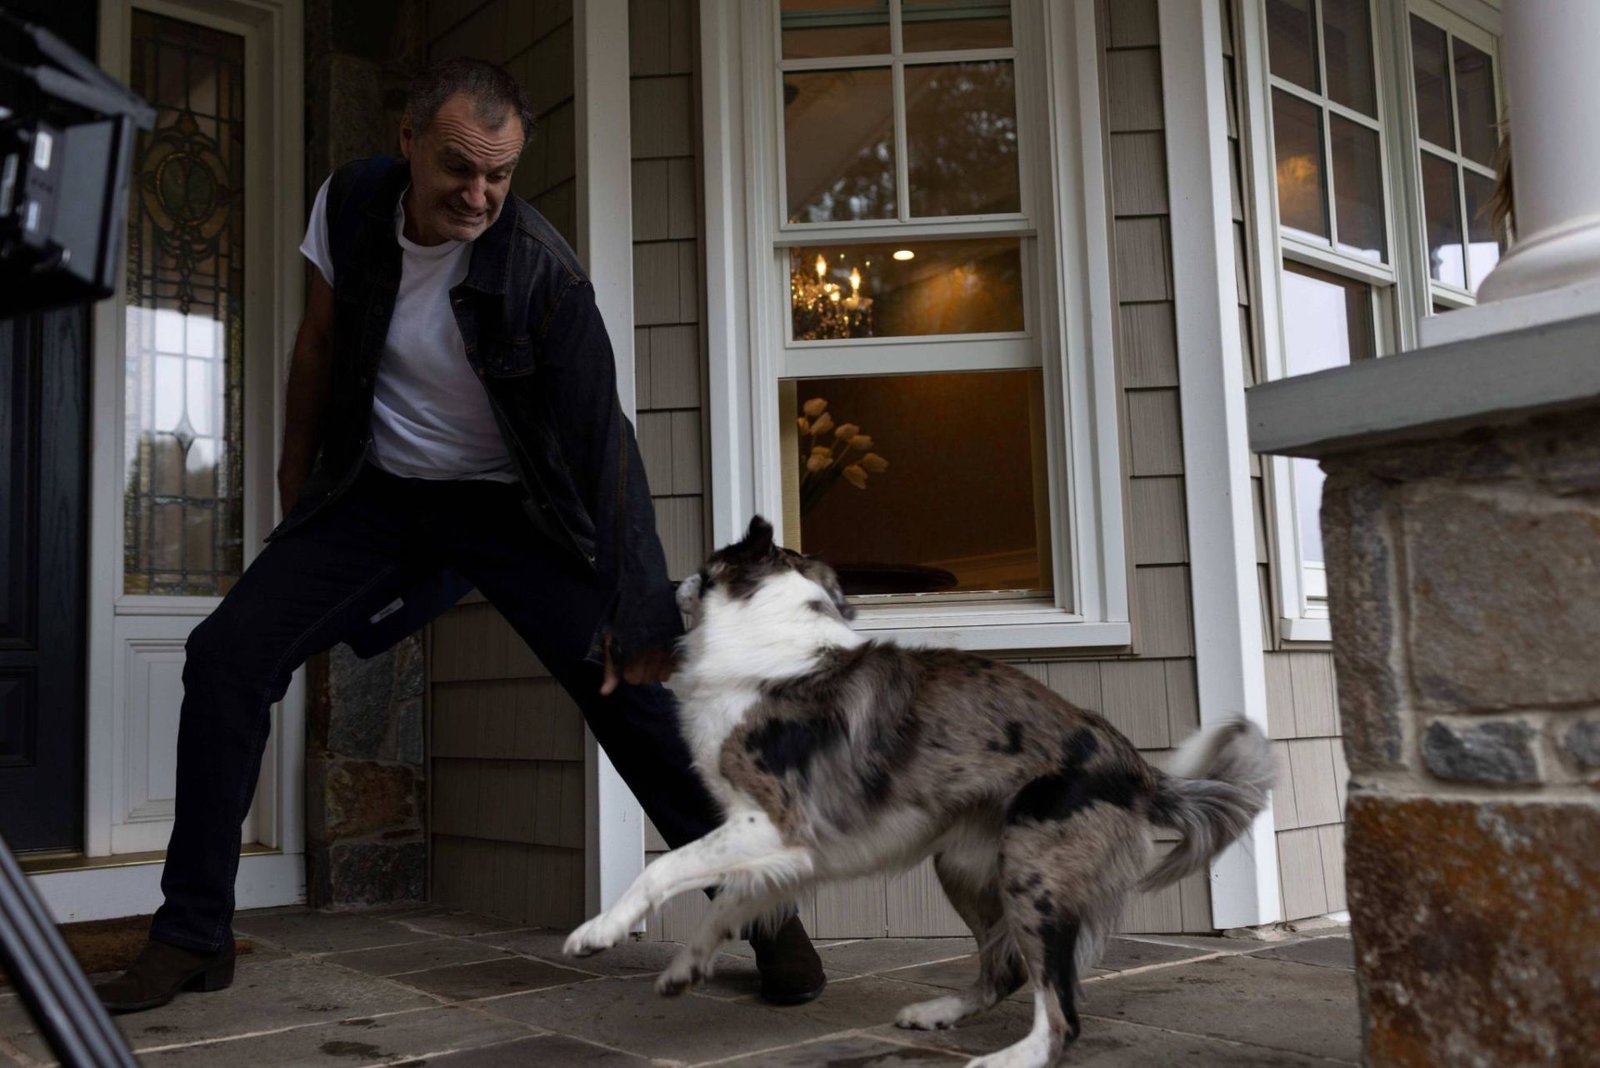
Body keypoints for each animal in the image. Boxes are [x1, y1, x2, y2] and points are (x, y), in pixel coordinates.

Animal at [566, 511, 1273, 1061]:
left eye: (705, 569)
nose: (668, 584)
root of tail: (1135, 765)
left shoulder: (770, 822)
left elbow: (665, 870)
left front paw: (599, 931)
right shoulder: (789, 850)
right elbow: (729, 902)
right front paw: (687, 966)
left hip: (1032, 872)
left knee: (1061, 1012)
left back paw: (1008, 1059)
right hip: (964, 864)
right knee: (1006, 968)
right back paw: (941, 1014)